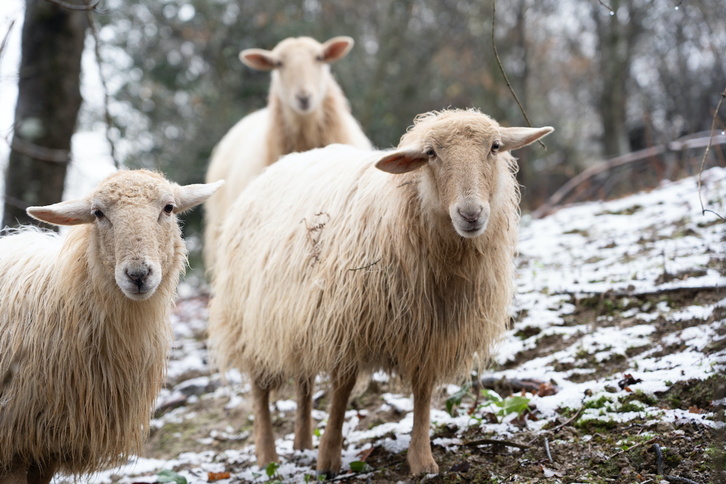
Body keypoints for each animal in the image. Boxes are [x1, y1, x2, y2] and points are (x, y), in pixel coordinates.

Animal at [210, 108, 556, 474]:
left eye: (495, 147)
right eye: (431, 153)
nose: (471, 214)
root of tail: (282, 164)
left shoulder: (430, 331)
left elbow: (423, 392)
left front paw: (422, 459)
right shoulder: (346, 322)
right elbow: (342, 391)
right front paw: (329, 458)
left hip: (298, 319)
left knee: (304, 382)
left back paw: (302, 442)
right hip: (251, 320)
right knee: (260, 389)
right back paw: (268, 454)